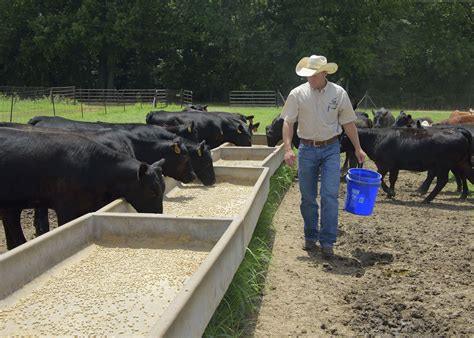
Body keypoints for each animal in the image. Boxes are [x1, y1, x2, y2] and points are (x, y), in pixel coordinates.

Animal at [340, 126, 474, 201]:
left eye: (342, 137)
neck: (377, 138)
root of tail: (458, 131)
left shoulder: (384, 165)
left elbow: (381, 179)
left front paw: (389, 192)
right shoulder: (394, 166)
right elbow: (392, 179)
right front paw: (391, 193)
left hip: (443, 165)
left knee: (442, 181)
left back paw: (427, 199)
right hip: (461, 163)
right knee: (465, 175)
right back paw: (463, 195)